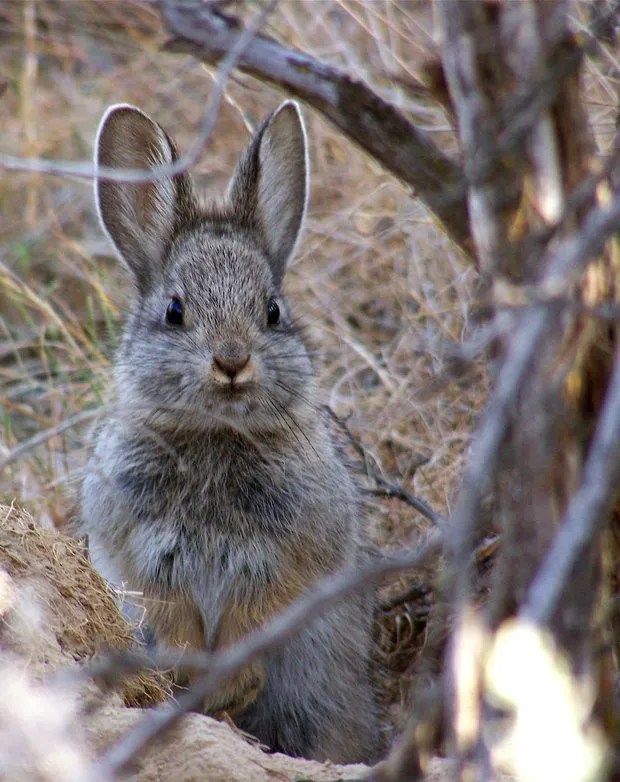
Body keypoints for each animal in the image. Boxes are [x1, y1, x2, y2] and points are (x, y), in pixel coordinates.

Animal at [79, 100, 380, 763]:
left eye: (272, 311)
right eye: (174, 311)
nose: (233, 361)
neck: (216, 435)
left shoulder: (286, 558)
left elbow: (258, 617)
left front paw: (231, 686)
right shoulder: (144, 557)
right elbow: (172, 618)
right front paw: (196, 684)